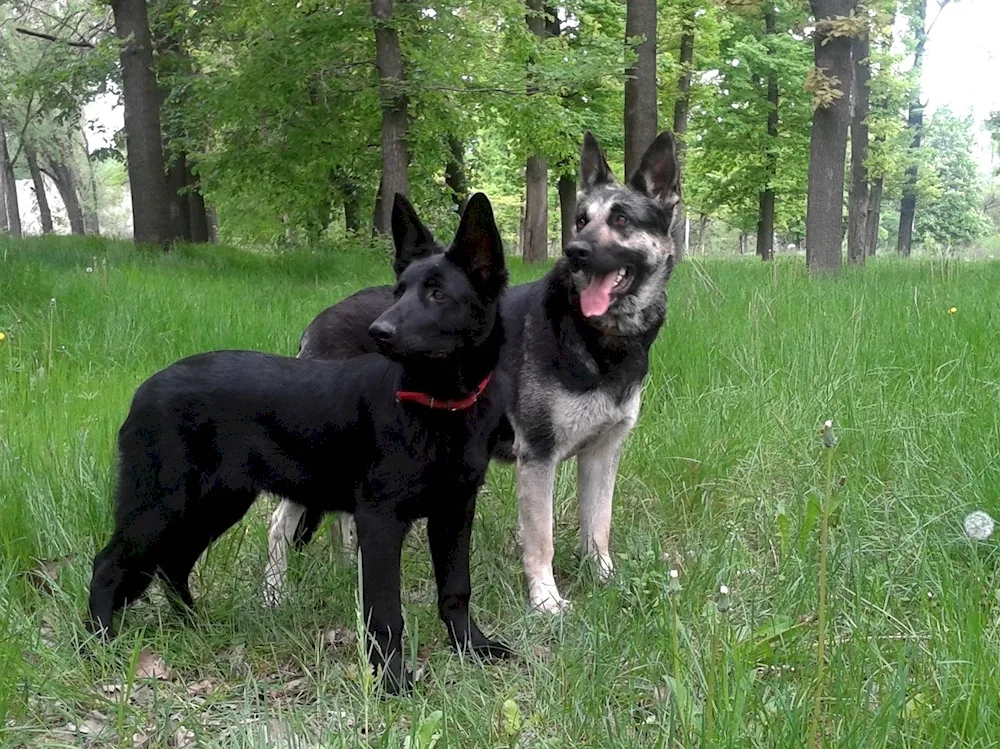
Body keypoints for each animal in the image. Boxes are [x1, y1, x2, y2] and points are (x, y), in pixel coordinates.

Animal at [89, 191, 512, 688]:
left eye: (438, 293)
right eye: (399, 291)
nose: (378, 332)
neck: (435, 406)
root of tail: (145, 389)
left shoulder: (455, 511)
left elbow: (456, 590)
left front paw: (472, 648)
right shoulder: (380, 520)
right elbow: (385, 612)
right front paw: (391, 680)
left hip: (215, 504)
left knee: (173, 562)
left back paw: (194, 624)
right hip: (161, 507)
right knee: (109, 564)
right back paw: (97, 644)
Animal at [266, 130, 680, 612]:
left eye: (621, 219)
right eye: (580, 220)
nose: (575, 252)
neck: (595, 337)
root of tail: (317, 323)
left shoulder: (601, 454)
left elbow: (598, 528)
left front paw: (607, 583)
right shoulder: (538, 458)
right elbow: (541, 539)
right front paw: (545, 601)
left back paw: (348, 568)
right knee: (278, 524)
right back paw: (274, 596)